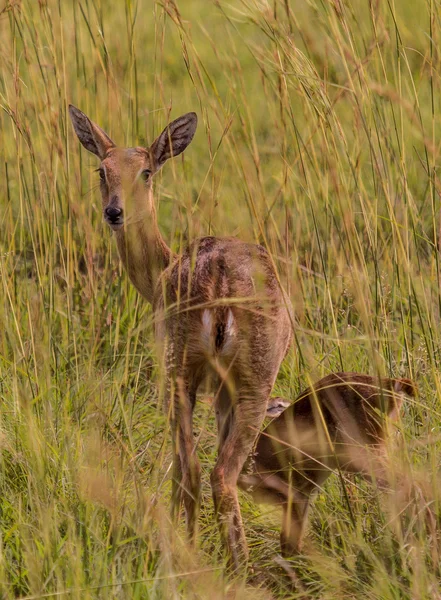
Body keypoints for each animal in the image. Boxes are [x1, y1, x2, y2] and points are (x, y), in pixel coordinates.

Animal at [69, 105, 292, 568]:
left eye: (147, 171)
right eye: (102, 169)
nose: (114, 212)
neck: (158, 276)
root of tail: (219, 286)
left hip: (189, 375)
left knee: (196, 468)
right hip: (235, 380)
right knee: (210, 471)